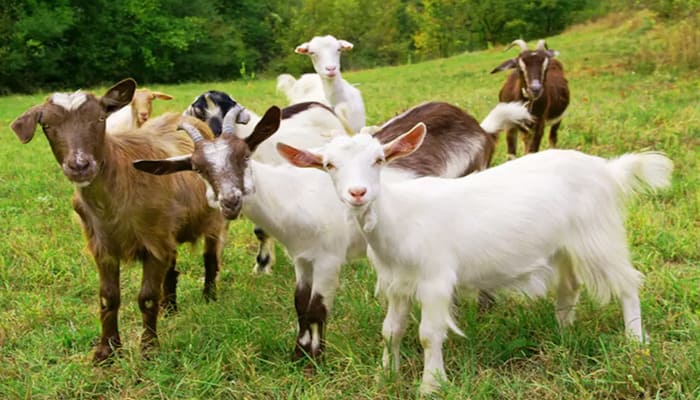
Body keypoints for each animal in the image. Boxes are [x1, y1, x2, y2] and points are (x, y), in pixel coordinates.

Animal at [10, 78, 228, 364]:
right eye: (46, 126)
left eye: (100, 118)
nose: (80, 166)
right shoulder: (102, 245)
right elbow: (108, 298)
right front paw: (107, 351)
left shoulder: (153, 240)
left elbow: (147, 297)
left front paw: (149, 350)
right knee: (172, 265)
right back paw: (170, 307)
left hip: (211, 218)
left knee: (210, 256)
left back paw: (209, 297)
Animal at [133, 101, 531, 364]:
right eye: (198, 168)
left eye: (244, 155)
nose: (230, 200)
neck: (294, 196)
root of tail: (480, 127)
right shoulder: (302, 258)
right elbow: (299, 303)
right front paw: (298, 354)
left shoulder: (328, 257)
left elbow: (317, 307)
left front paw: (315, 360)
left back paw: (484, 308)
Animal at [279, 123, 672, 394]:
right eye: (329, 165)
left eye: (378, 160)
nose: (358, 193)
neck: (400, 218)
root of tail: (608, 169)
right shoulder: (397, 283)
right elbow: (391, 331)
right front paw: (385, 375)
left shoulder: (435, 279)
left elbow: (428, 334)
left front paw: (431, 386)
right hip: (564, 245)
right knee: (570, 285)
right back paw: (563, 333)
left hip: (597, 234)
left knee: (627, 282)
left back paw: (635, 341)